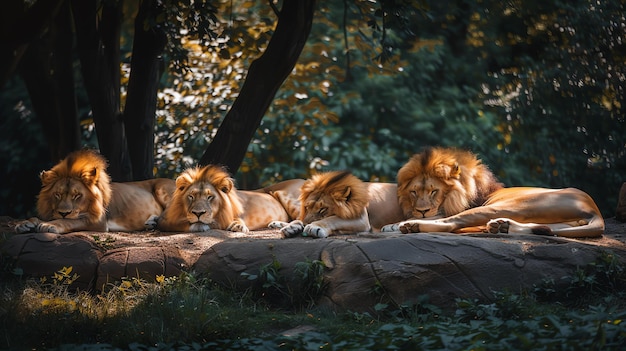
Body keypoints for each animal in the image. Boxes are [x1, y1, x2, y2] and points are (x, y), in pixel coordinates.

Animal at [14, 150, 176, 235]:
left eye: (77, 195)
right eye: (57, 194)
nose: (63, 212)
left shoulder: (98, 221)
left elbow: (69, 220)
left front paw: (48, 225)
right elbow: (38, 217)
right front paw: (25, 224)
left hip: (162, 188)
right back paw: (152, 222)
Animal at [270, 171, 402, 239]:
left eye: (322, 209)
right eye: (307, 207)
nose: (306, 225)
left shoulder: (361, 219)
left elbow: (332, 219)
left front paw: (314, 227)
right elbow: (300, 219)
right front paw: (291, 227)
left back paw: (393, 226)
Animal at [380, 147, 604, 238]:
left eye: (434, 191)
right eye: (414, 192)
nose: (422, 211)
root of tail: (593, 208)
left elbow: (441, 216)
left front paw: (393, 224)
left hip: (507, 206)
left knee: (450, 223)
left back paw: (409, 226)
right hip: (560, 223)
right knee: (547, 229)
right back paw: (502, 227)